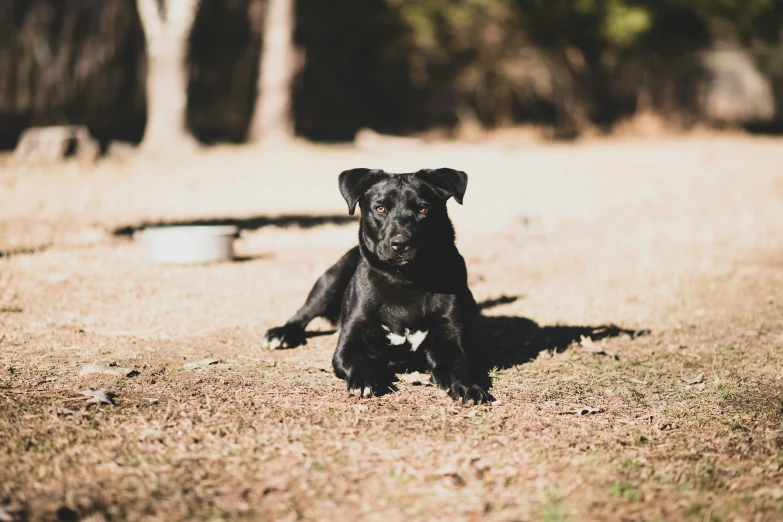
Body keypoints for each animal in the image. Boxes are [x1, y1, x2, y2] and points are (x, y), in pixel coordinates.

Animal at [260, 167, 486, 402]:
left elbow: (458, 367)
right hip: (331, 279)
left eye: (423, 209)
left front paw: (467, 387)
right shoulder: (349, 343)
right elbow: (358, 362)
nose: (400, 243)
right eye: (380, 208)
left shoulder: (449, 343)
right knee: (304, 312)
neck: (405, 280)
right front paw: (364, 382)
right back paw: (281, 334)